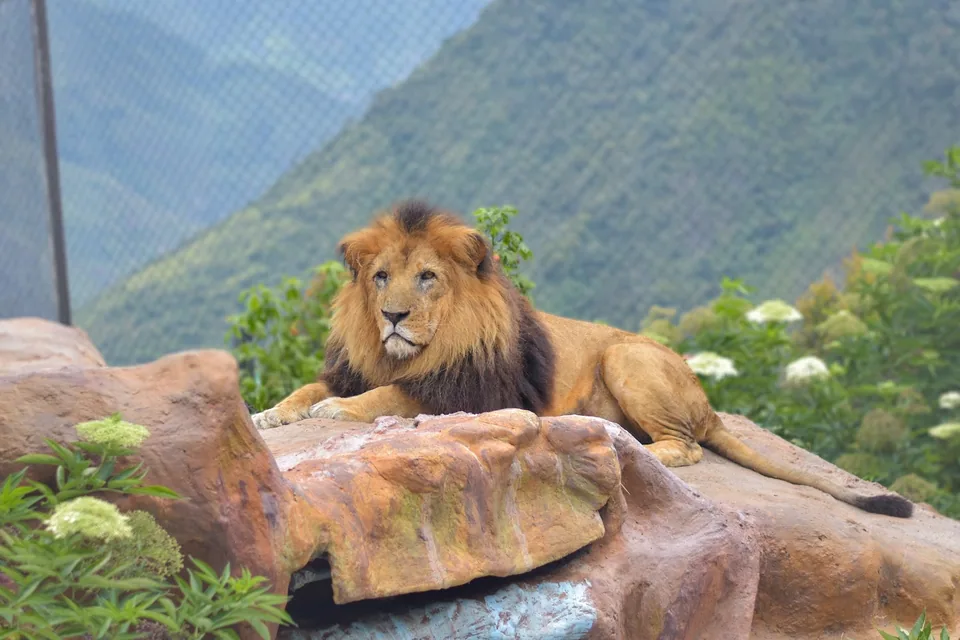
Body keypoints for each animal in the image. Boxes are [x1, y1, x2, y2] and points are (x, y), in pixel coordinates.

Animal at [250, 200, 913, 518]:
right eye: (381, 277)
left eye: (427, 279)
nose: (392, 316)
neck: (404, 353)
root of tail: (708, 404)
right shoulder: (357, 367)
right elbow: (309, 390)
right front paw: (269, 414)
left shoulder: (465, 392)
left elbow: (382, 397)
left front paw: (337, 413)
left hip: (626, 358)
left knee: (686, 447)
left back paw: (635, 447)